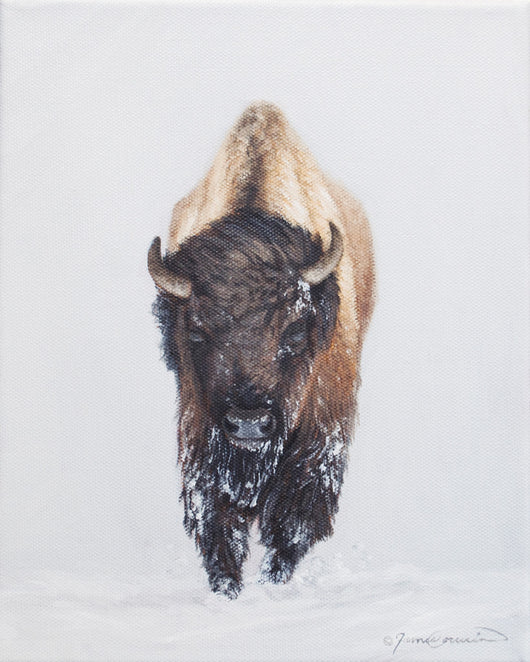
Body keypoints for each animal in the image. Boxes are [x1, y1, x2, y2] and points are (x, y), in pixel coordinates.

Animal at [148, 102, 375, 598]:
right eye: (196, 332)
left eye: (294, 330)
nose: (249, 422)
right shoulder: (200, 435)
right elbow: (218, 522)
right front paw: (228, 588)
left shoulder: (319, 442)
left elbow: (292, 522)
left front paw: (273, 582)